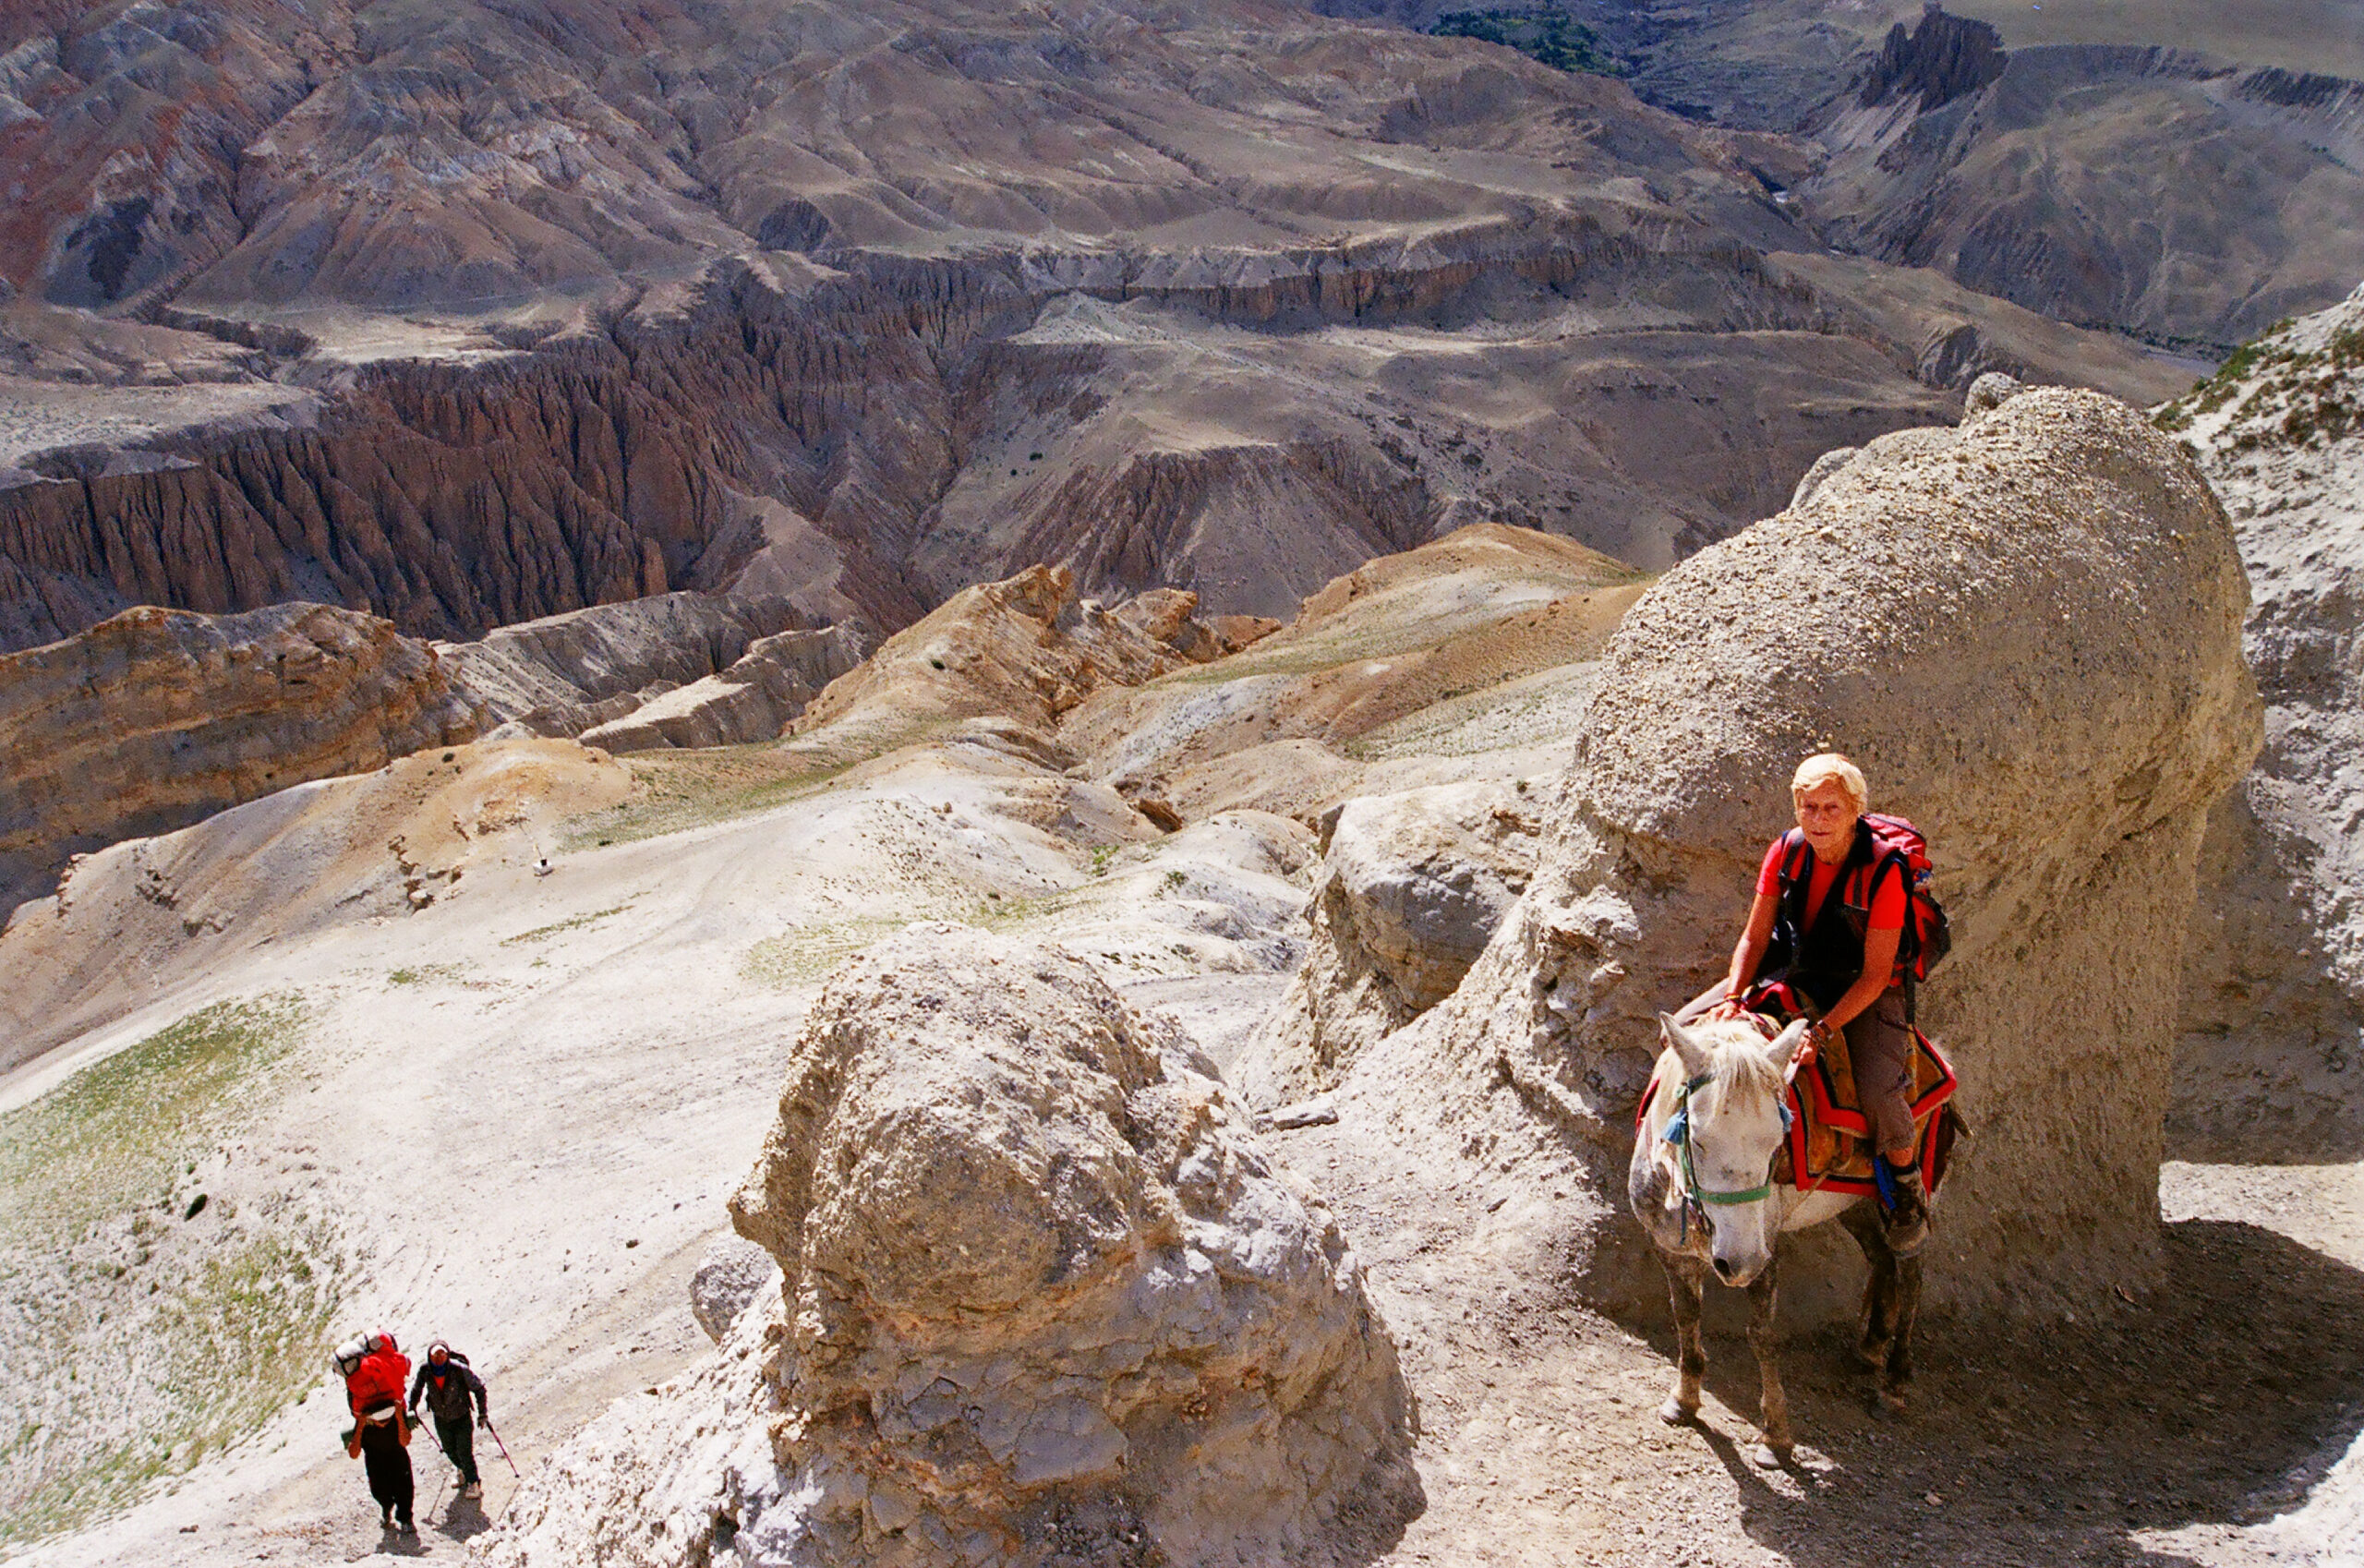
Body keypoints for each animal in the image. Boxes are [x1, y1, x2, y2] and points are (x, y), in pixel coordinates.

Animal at [1626, 1010, 1927, 1466]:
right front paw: (1684, 1401)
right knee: (1881, 1257)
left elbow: (1762, 1336)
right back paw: (1870, 1347)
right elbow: (1686, 1315)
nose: (1739, 1262)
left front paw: (1776, 1436)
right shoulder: (1669, 1249)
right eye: (1698, 1139)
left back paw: (1894, 1385)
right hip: (1855, 1204)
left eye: (1777, 1143)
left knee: (1910, 1269)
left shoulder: (1765, 1252)